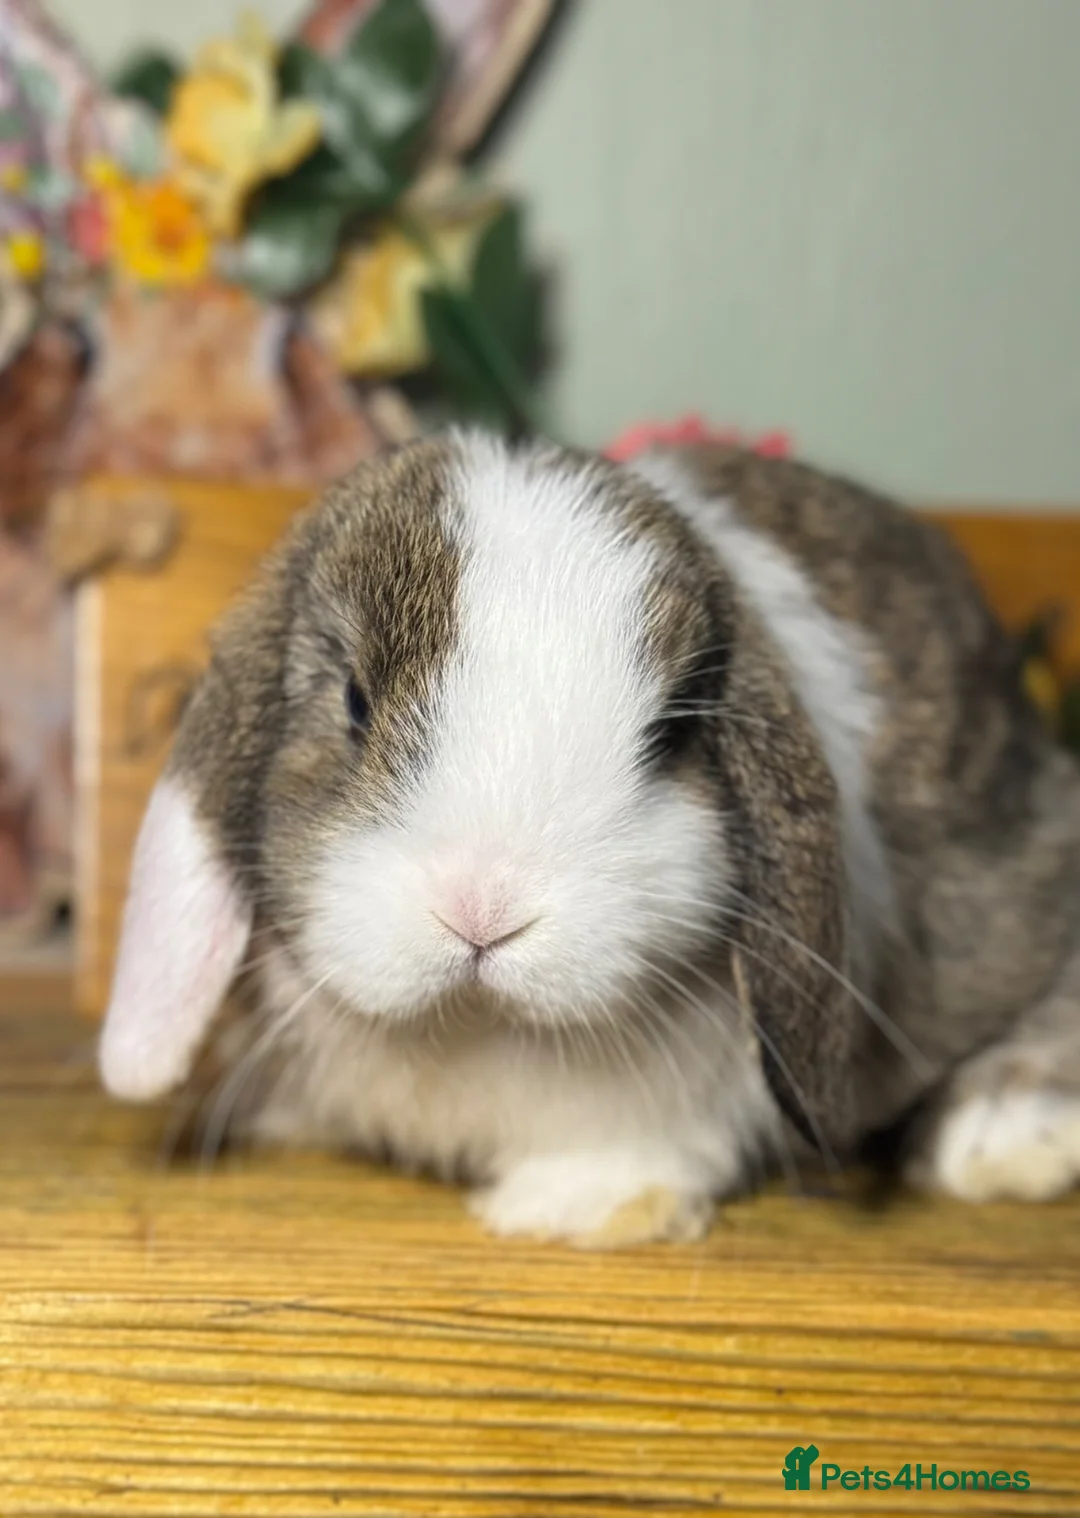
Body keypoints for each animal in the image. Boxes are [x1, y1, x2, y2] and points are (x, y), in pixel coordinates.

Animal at [98, 431, 1080, 1245]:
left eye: (670, 736)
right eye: (353, 701)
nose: (482, 909)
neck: (475, 1030)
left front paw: (579, 1211)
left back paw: (1004, 1141)